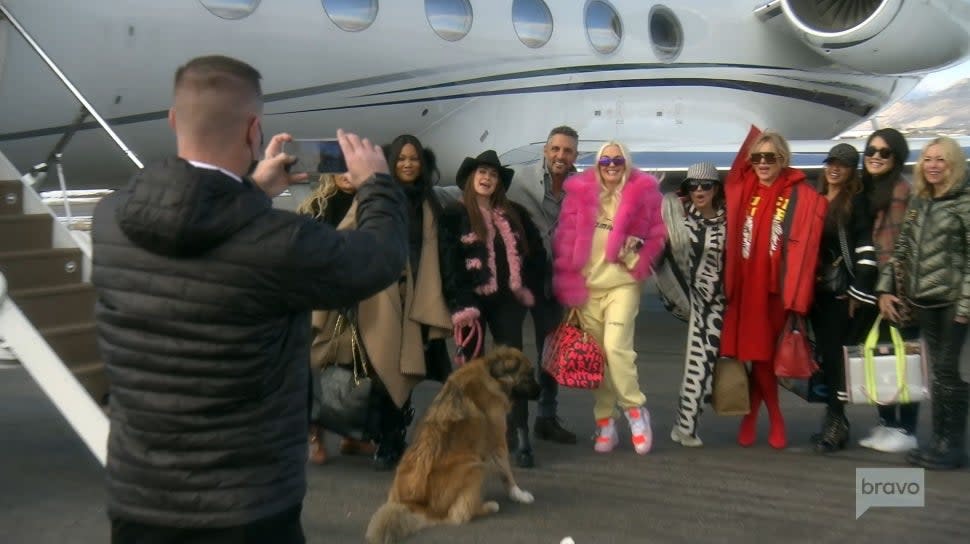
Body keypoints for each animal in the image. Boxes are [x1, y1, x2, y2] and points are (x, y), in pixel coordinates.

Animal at [364, 346, 540, 540]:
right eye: (529, 375)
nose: (540, 392)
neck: (491, 374)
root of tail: (416, 505)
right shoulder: (497, 442)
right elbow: (507, 473)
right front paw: (519, 494)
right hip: (476, 466)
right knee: (458, 515)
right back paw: (488, 506)